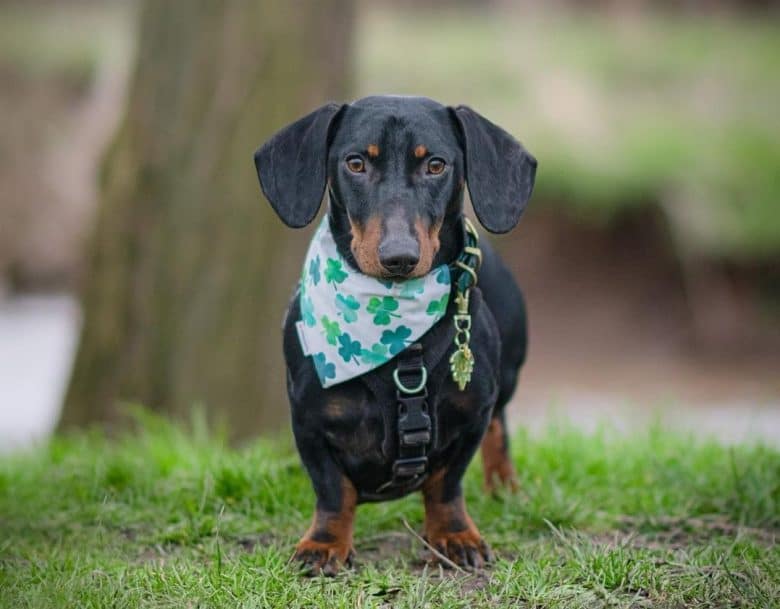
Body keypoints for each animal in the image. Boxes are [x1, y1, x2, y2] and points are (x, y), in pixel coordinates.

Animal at [256, 95, 536, 576]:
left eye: (436, 165)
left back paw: (504, 486)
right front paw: (324, 544)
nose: (399, 257)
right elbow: (333, 492)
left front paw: (454, 534)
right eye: (355, 163)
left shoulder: (472, 415)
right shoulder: (309, 420)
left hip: (507, 375)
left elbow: (446, 486)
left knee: (500, 425)